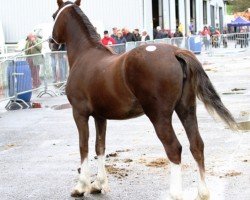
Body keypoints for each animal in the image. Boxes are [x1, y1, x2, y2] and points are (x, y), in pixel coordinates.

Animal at [51, 0, 237, 199]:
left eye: (54, 16)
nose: (51, 42)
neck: (85, 55)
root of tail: (175, 52)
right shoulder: (100, 117)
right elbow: (99, 147)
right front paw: (98, 184)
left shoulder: (79, 113)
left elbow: (83, 147)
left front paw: (81, 186)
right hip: (186, 109)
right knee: (196, 145)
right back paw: (202, 192)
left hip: (159, 117)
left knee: (174, 148)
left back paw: (175, 193)